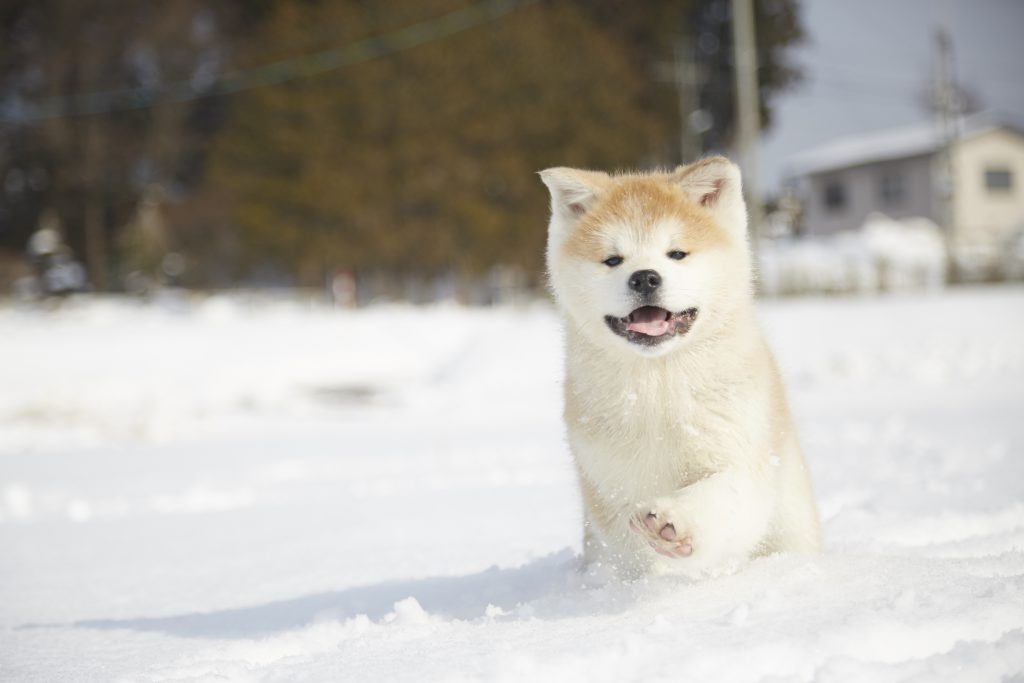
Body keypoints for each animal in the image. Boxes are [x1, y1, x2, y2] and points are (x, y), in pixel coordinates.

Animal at [540, 156, 819, 577]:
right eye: (612, 260)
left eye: (676, 254)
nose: (644, 277)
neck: (659, 385)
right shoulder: (608, 487)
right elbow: (633, 551)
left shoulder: (741, 457)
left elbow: (719, 496)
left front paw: (674, 522)